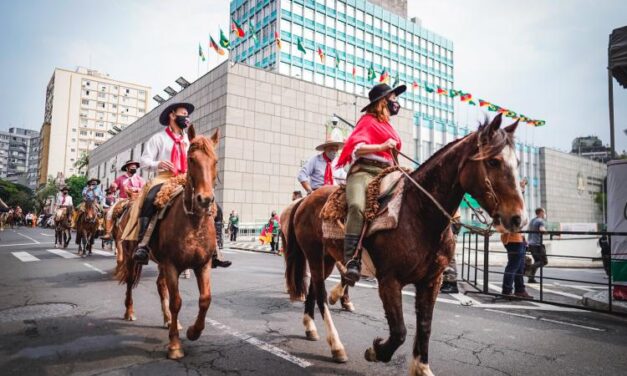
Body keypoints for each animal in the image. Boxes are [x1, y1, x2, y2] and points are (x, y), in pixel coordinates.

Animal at [116, 129, 222, 358]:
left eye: (216, 161)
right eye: (191, 159)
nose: (205, 200)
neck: (193, 222)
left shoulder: (203, 264)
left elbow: (205, 299)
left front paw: (193, 331)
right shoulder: (172, 265)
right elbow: (176, 302)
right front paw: (174, 345)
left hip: (161, 263)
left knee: (160, 285)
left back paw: (167, 320)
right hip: (131, 256)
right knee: (130, 282)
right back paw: (130, 312)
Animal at [288, 115, 528, 376]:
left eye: (517, 162)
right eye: (494, 161)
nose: (518, 219)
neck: (420, 212)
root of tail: (305, 200)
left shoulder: (432, 281)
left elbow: (424, 326)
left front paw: (421, 367)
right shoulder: (389, 281)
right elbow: (400, 332)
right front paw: (376, 351)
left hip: (328, 258)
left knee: (315, 289)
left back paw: (310, 327)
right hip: (313, 254)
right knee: (321, 294)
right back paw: (336, 346)